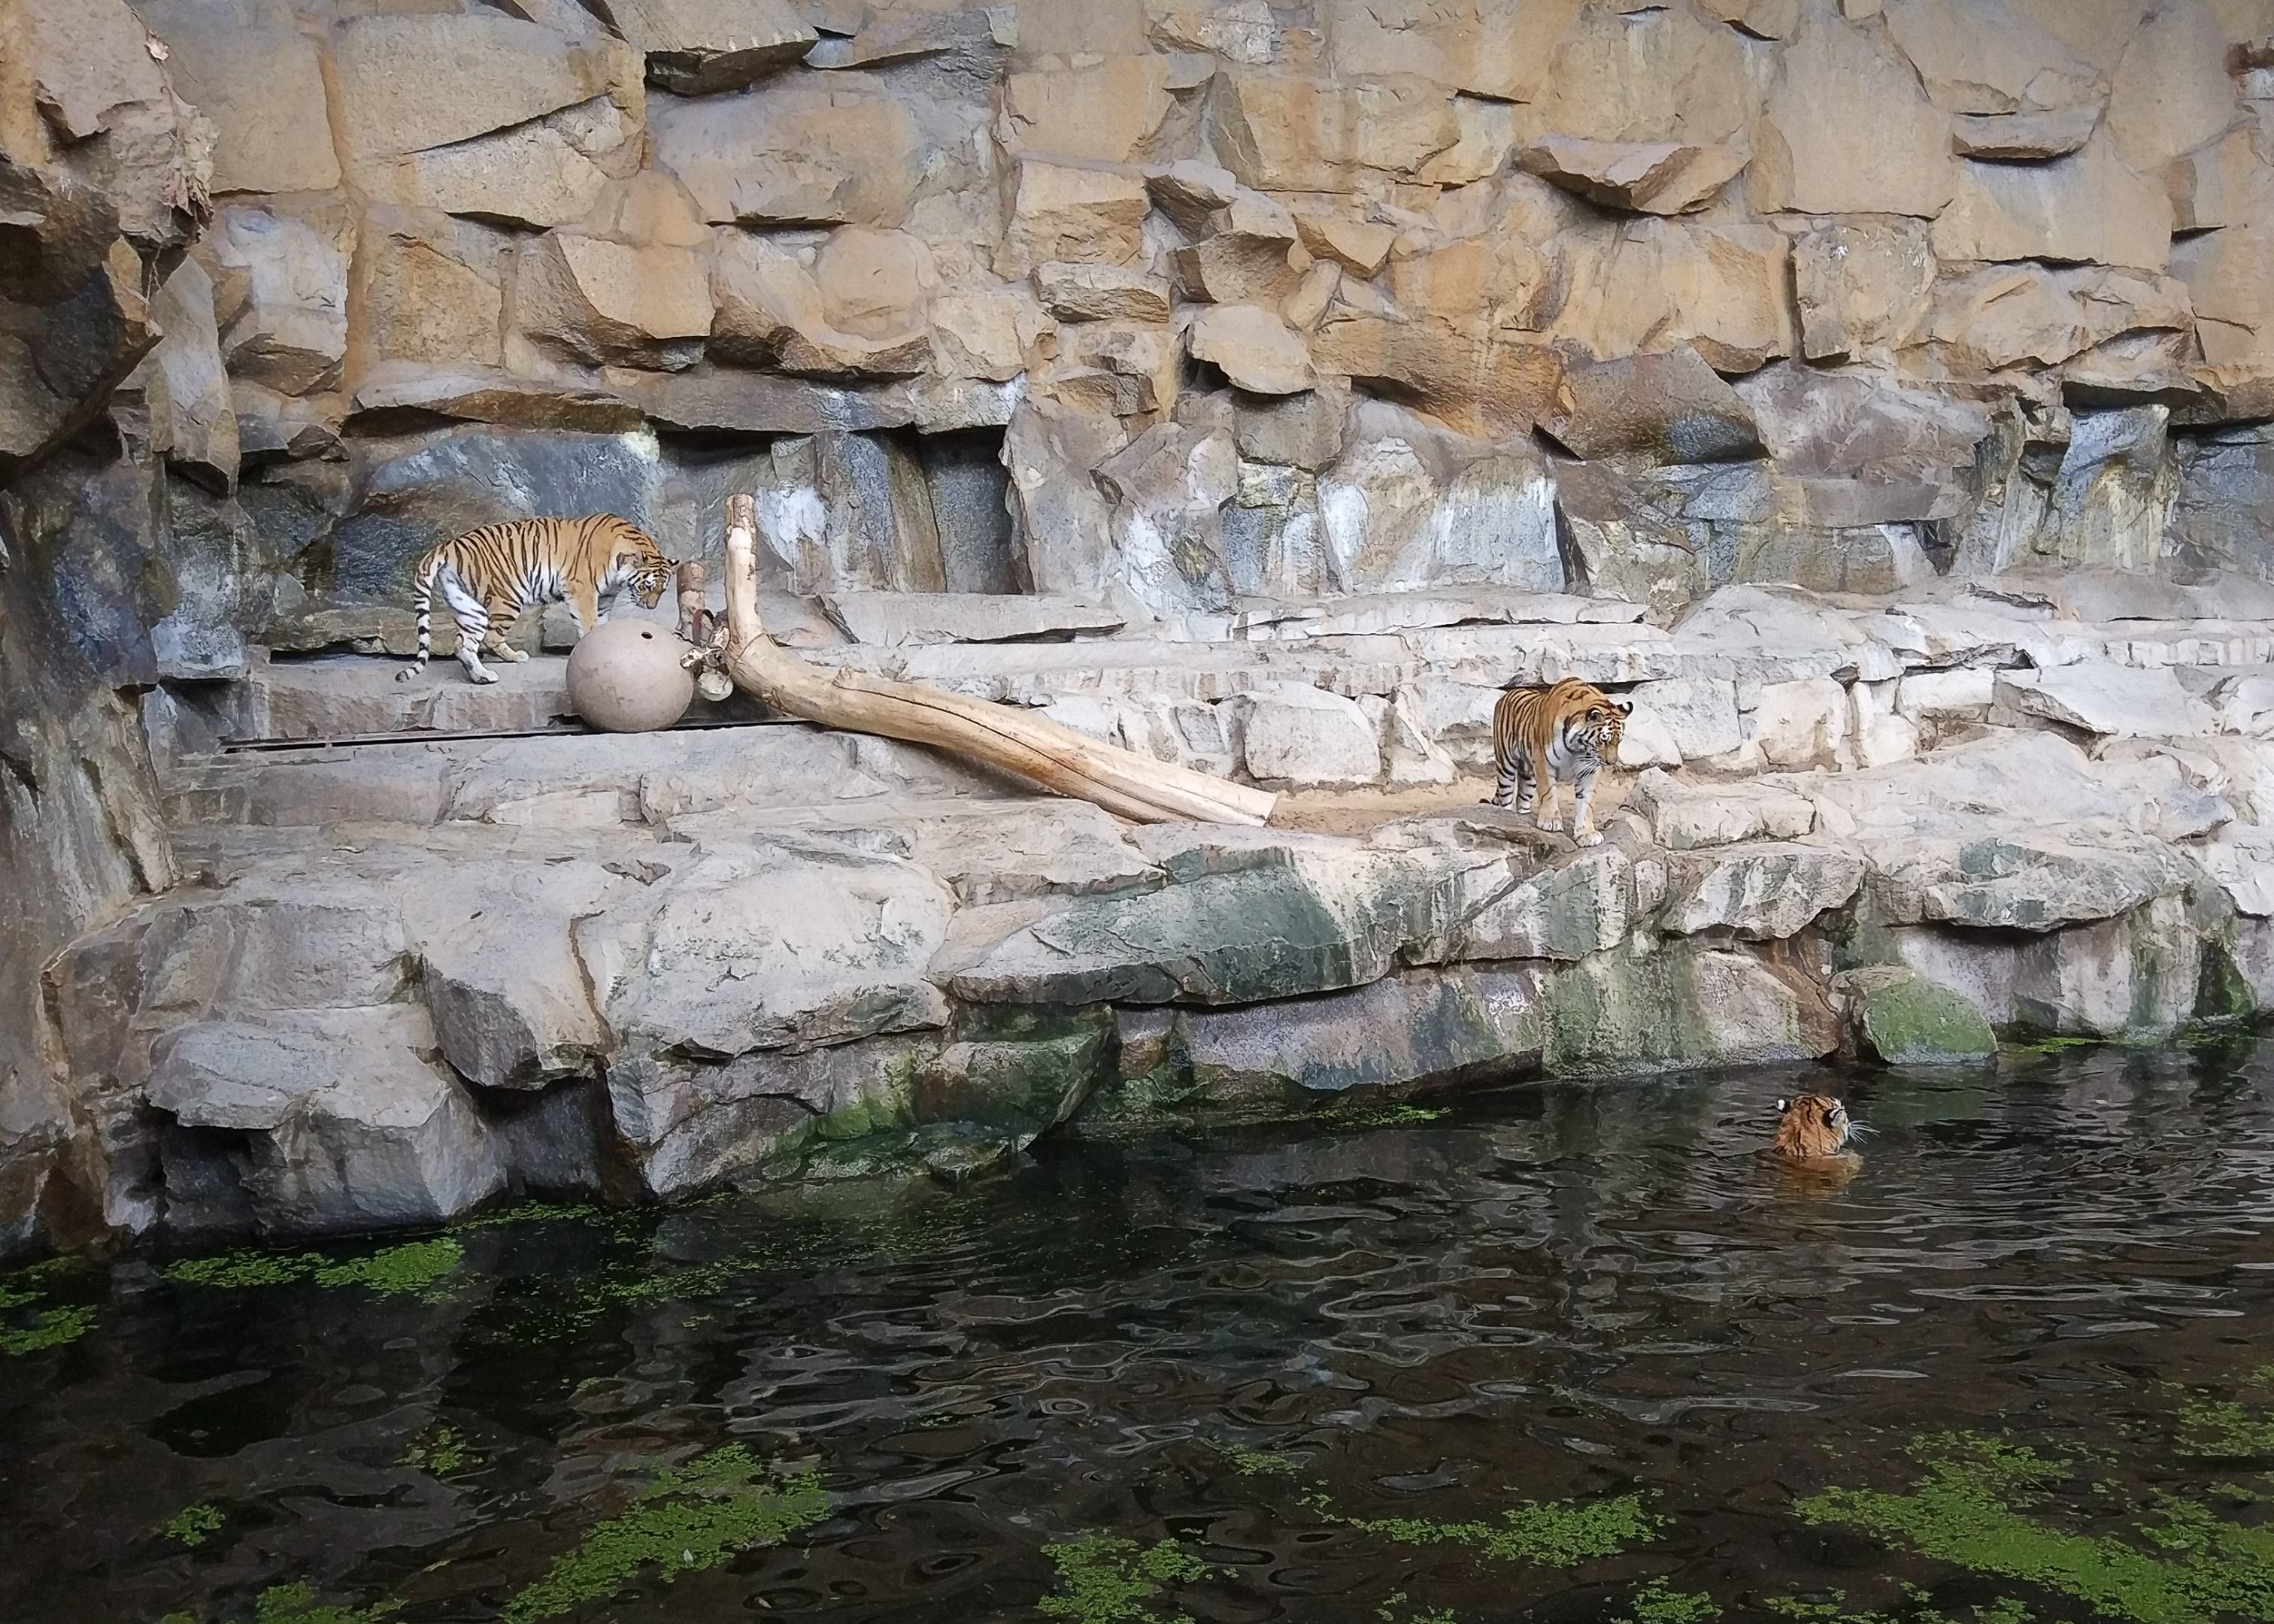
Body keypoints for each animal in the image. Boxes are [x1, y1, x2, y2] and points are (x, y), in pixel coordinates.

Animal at [395, 515, 677, 685]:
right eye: (647, 586)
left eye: (663, 590)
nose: (651, 606)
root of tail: (448, 545)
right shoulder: (582, 590)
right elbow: (588, 624)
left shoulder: (605, 597)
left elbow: (602, 622)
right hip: (506, 599)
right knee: (489, 638)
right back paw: (514, 658)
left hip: (469, 606)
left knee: (463, 644)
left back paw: (482, 677)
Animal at [1484, 678, 1633, 847]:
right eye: (1603, 740)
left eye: (1619, 741)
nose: (1611, 762)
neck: (1578, 748)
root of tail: (1505, 695)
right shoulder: (1543, 762)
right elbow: (1549, 793)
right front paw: (1550, 821)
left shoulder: (1590, 771)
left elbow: (1586, 802)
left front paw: (1586, 833)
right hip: (1506, 766)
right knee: (1506, 798)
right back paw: (1507, 817)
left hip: (1528, 777)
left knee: (1522, 799)